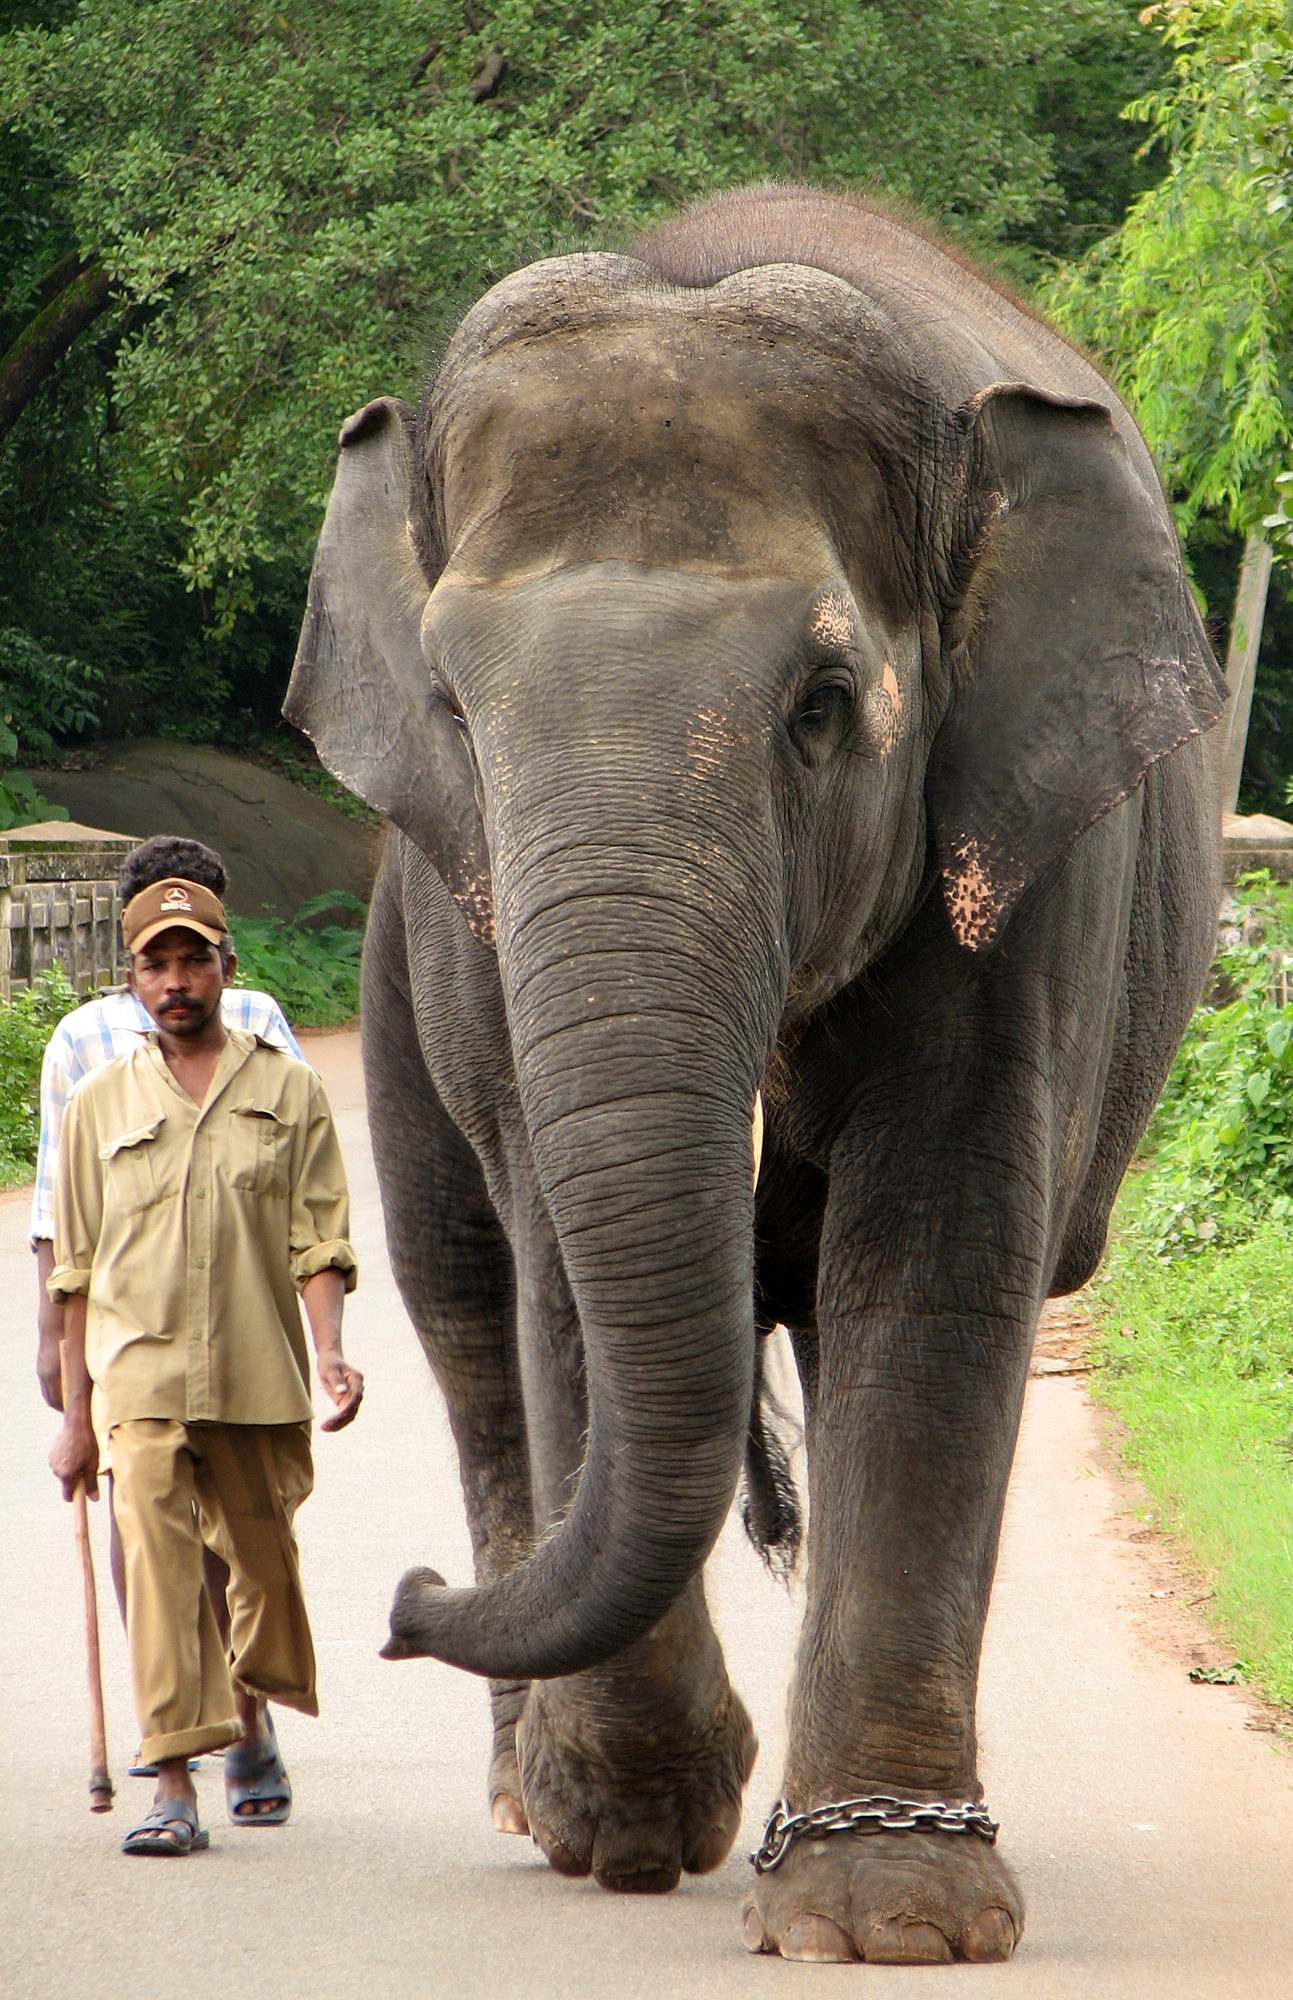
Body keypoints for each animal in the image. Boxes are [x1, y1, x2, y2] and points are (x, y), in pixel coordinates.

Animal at [284, 180, 1224, 1960]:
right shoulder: (466, 920)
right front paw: (631, 1825)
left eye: (821, 704)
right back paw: (531, 1796)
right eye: (454, 707)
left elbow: (937, 1257)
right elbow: (562, 1271)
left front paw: (892, 1914)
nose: (403, 1605)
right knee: (465, 1305)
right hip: (389, 951)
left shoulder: (1026, 869)